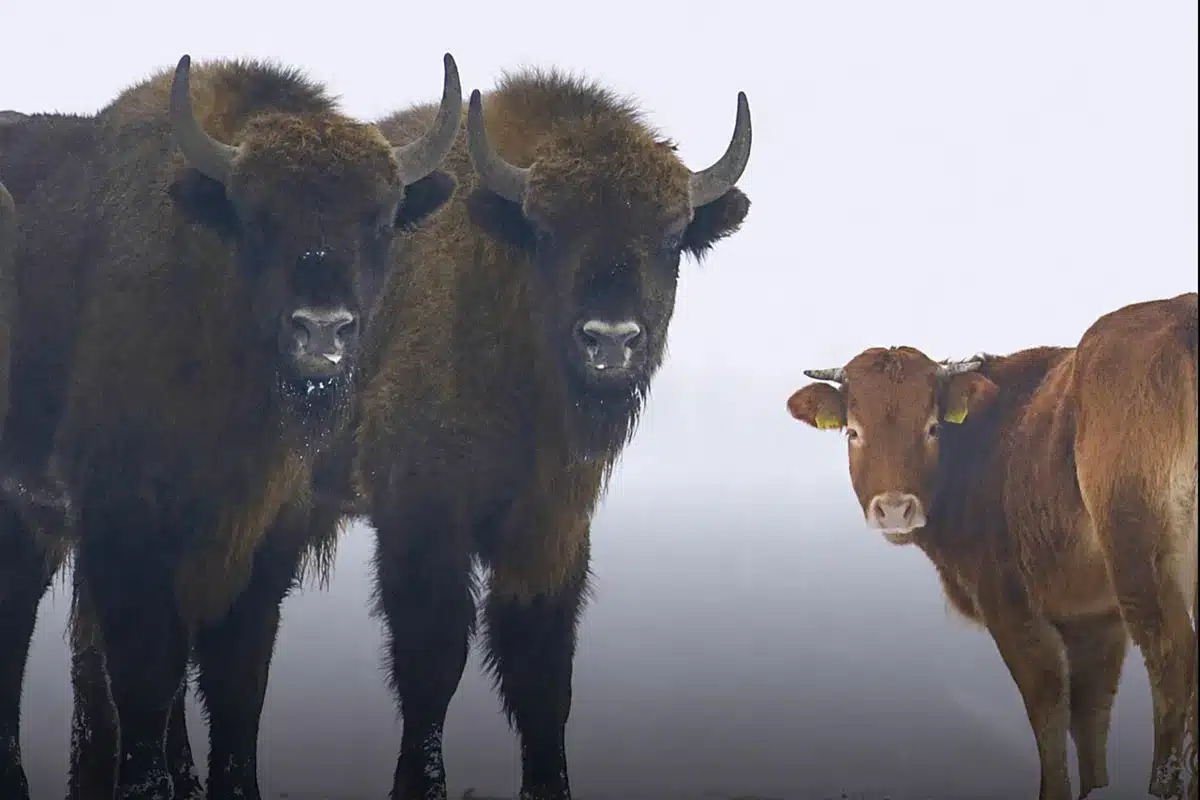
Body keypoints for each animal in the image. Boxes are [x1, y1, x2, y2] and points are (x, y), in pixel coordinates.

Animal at [4, 52, 463, 800]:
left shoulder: (266, 540)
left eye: (379, 219)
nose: (321, 331)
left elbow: (237, 686)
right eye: (259, 217)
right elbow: (147, 677)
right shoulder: (123, 529)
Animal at [351, 69, 752, 799]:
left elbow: (541, 674)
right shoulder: (418, 514)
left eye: (670, 236)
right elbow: (432, 662)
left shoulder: (551, 526)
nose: (611, 340)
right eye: (548, 231)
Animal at [785, 292, 1198, 800]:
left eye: (932, 427)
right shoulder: (1094, 618)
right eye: (853, 431)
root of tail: (1181, 313)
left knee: (1171, 655)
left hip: (1139, 551)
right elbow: (1090, 715)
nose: (895, 509)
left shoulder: (1011, 604)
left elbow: (1047, 704)